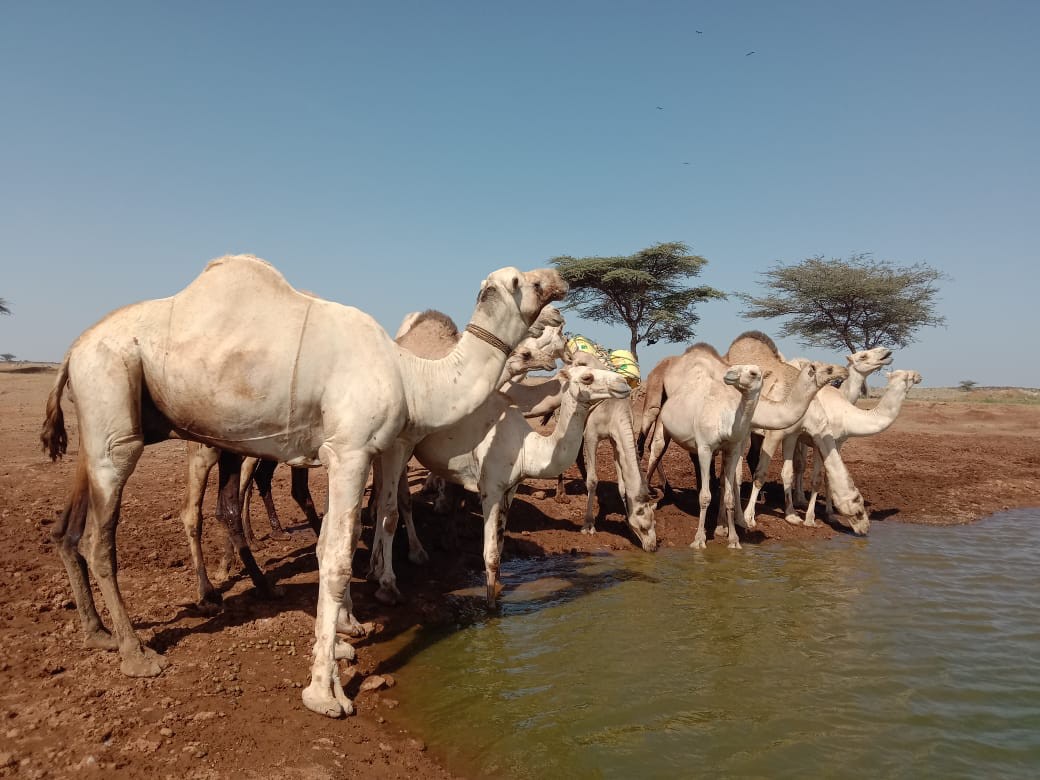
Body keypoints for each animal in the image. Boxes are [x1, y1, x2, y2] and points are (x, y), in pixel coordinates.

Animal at [41, 254, 565, 719]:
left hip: (109, 423)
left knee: (72, 528)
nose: (560, 282)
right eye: (526, 282)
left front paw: (346, 641)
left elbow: (334, 542)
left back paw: (98, 633)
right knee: (102, 538)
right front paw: (326, 693)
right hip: (112, 402)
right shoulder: (352, 450)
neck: (413, 374)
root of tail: (72, 349)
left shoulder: (345, 451)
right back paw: (138, 651)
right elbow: (336, 560)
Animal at [411, 366, 634, 605]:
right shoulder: (490, 488)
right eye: (587, 377)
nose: (623, 383)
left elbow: (499, 546)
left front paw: (499, 590)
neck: (526, 448)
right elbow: (490, 553)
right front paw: (491, 608)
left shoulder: (510, 488)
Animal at [642, 344, 764, 549]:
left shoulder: (731, 450)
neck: (725, 422)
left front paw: (734, 540)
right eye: (738, 367)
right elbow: (705, 496)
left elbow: (729, 496)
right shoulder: (705, 448)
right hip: (661, 422)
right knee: (656, 449)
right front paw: (699, 539)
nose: (730, 375)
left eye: (754, 373)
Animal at [724, 332, 870, 534]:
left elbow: (789, 471)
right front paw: (749, 518)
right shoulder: (774, 435)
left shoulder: (793, 436)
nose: (866, 528)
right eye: (858, 509)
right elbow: (761, 474)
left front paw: (793, 514)